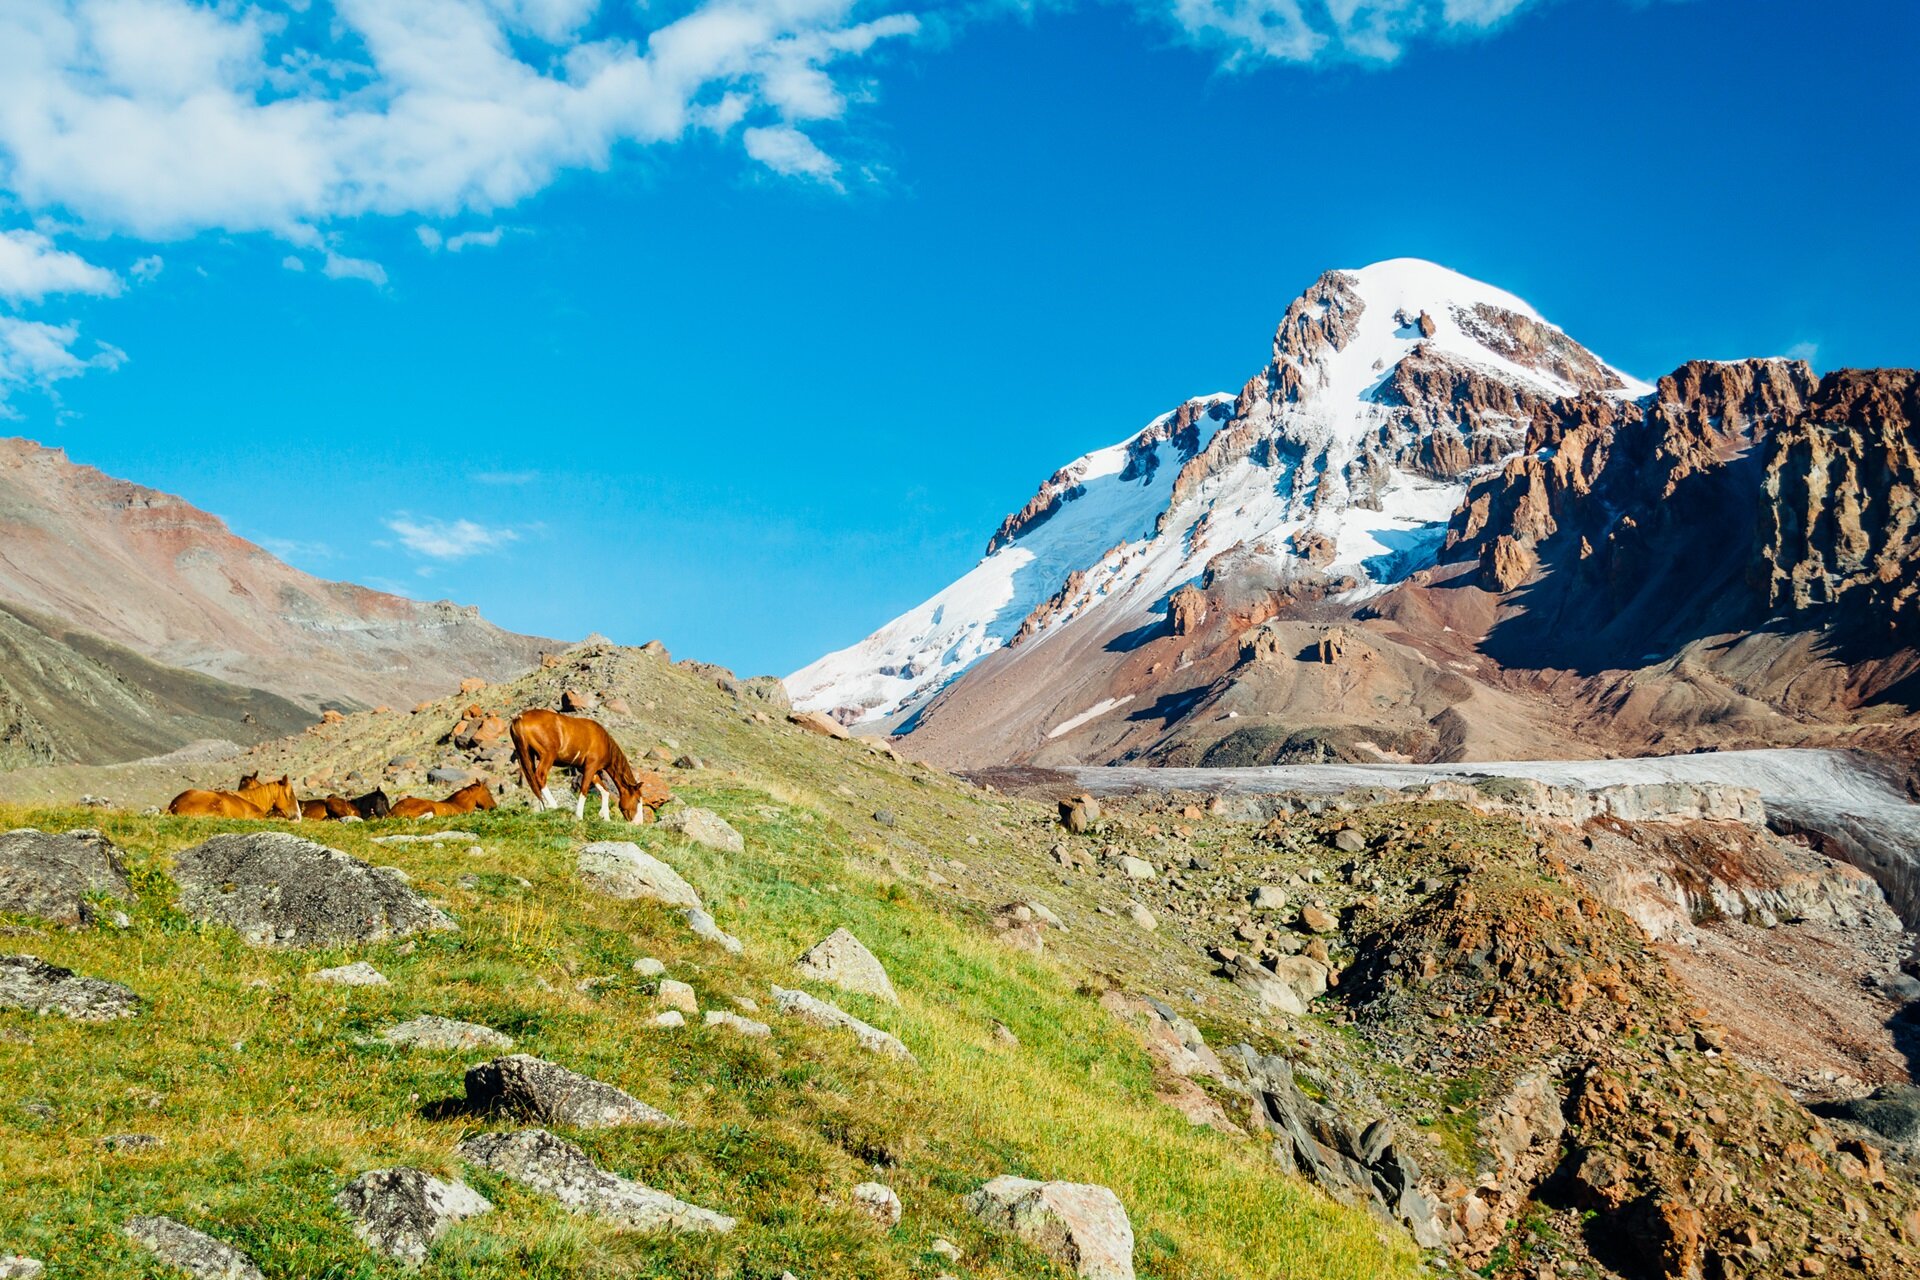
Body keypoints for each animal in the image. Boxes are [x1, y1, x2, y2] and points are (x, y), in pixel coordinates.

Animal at [510, 710, 668, 821]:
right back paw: (554, 806)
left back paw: (543, 806)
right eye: (637, 800)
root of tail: (520, 717)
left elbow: (605, 791)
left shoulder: (593, 771)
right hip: (547, 756)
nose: (638, 822)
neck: (605, 743)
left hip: (526, 755)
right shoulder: (590, 767)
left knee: (532, 779)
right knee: (540, 777)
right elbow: (585, 789)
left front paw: (605, 817)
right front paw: (579, 815)